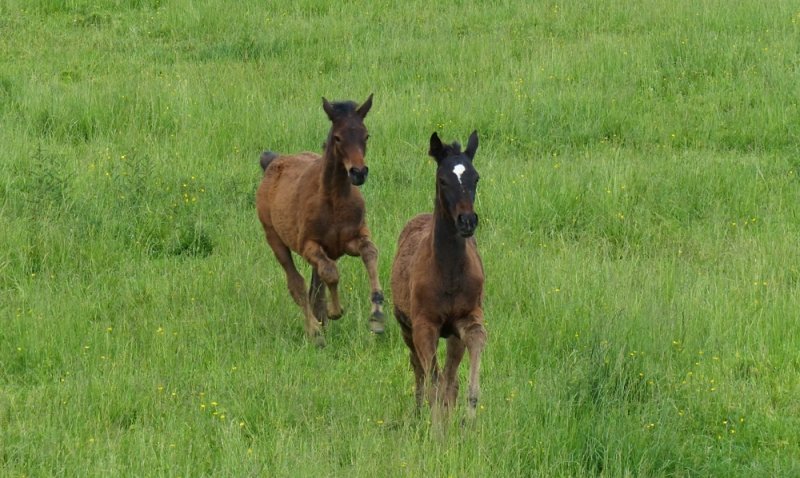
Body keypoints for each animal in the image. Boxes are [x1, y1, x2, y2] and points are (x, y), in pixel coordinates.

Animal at [255, 95, 385, 347]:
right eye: (337, 137)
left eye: (366, 135)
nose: (358, 172)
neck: (334, 200)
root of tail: (273, 162)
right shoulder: (309, 245)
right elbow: (330, 274)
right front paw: (335, 312)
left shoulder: (350, 240)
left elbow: (369, 252)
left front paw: (376, 315)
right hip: (274, 238)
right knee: (297, 284)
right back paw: (315, 332)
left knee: (316, 285)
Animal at [390, 130, 486, 421]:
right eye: (443, 180)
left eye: (475, 177)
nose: (467, 221)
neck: (449, 273)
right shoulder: (424, 326)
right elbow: (432, 379)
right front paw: (436, 428)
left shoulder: (467, 319)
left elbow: (474, 345)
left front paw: (469, 417)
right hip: (405, 328)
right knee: (419, 370)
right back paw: (419, 412)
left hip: (451, 336)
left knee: (449, 378)